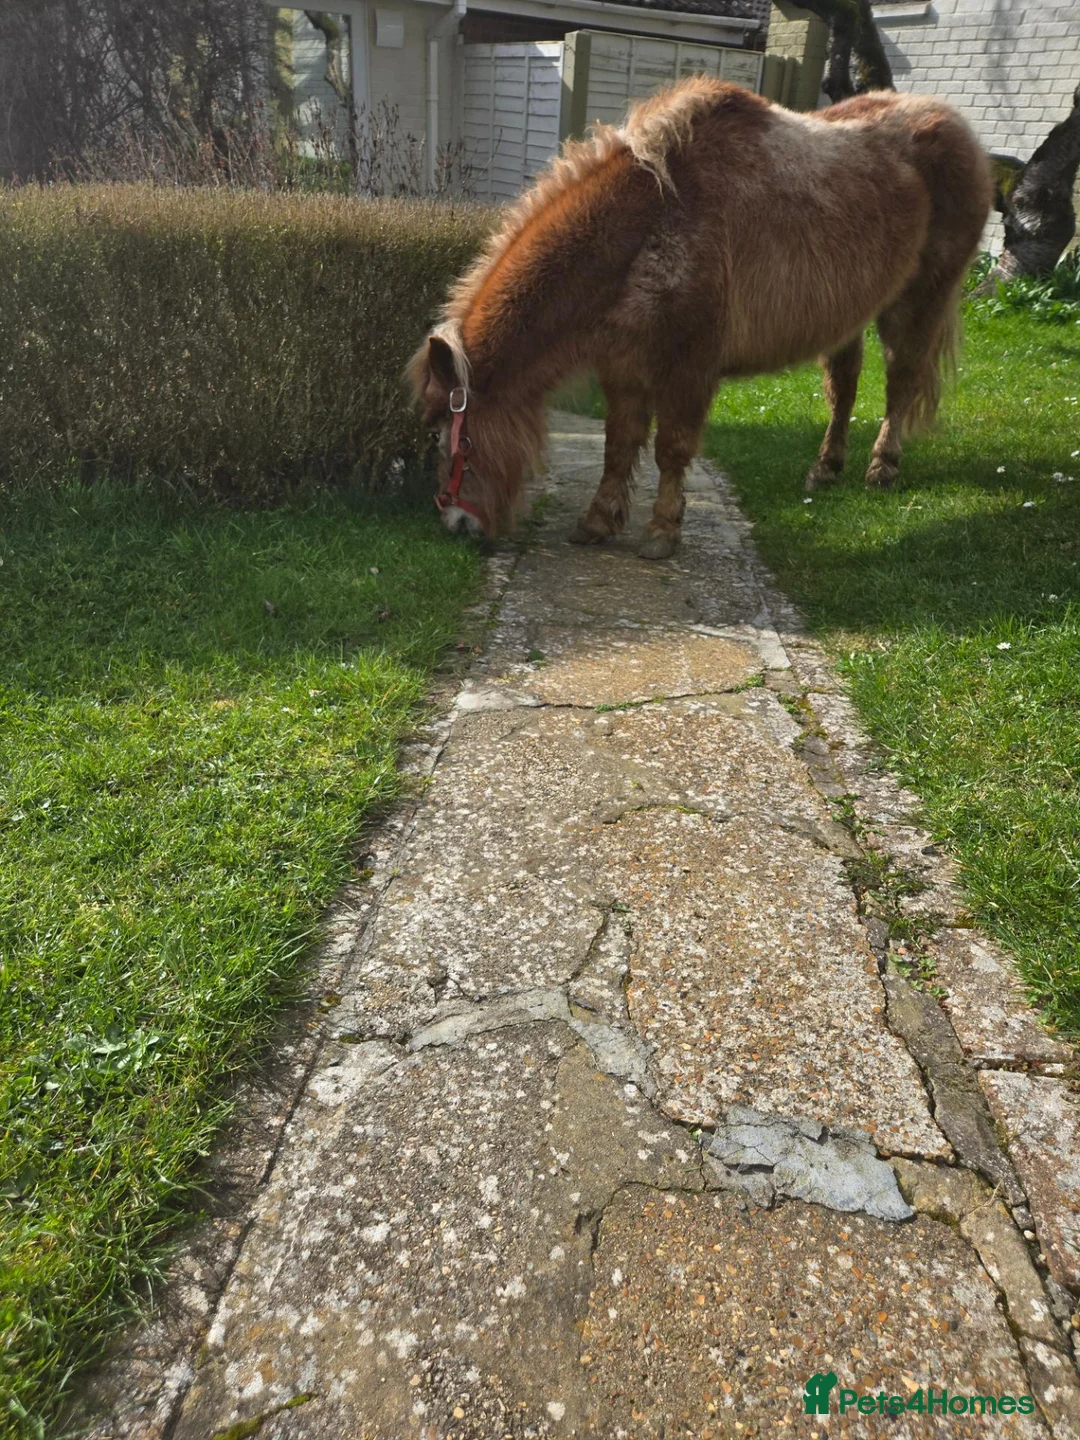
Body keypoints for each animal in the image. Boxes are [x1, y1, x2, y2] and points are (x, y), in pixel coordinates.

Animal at [409, 76, 992, 559]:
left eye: (443, 434)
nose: (455, 524)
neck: (652, 218)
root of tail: (954, 123)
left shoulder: (688, 368)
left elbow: (670, 449)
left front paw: (662, 531)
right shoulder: (624, 367)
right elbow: (618, 447)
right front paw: (599, 521)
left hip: (918, 301)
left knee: (900, 382)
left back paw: (882, 467)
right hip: (850, 316)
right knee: (844, 388)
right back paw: (826, 469)